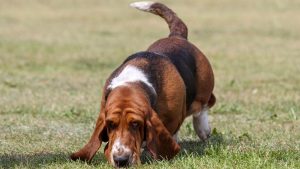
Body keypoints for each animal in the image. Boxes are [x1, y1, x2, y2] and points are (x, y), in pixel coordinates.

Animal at [70, 0, 216, 168]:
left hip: (204, 88)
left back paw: (202, 129)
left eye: (135, 124)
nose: (121, 160)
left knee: (205, 105)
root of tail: (177, 36)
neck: (134, 81)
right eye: (111, 124)